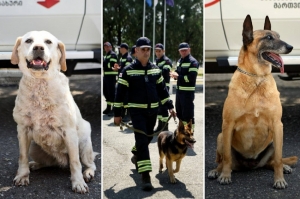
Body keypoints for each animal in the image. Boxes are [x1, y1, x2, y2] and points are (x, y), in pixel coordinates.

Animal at [9, 30, 97, 193]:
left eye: (48, 42)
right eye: (29, 41)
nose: (38, 48)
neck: (40, 84)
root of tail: (61, 161)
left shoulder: (69, 132)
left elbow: (75, 162)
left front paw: (78, 182)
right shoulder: (23, 129)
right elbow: (22, 156)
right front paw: (23, 175)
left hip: (84, 142)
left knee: (89, 163)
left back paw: (88, 173)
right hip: (34, 147)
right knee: (47, 163)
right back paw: (34, 165)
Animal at [207, 14, 296, 189]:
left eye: (278, 36)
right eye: (268, 37)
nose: (291, 47)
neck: (257, 79)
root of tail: (252, 164)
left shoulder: (277, 125)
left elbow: (278, 159)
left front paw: (279, 179)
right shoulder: (228, 125)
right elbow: (227, 158)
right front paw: (225, 176)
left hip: (274, 140)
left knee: (273, 161)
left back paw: (285, 167)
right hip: (221, 136)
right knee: (222, 160)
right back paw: (216, 171)